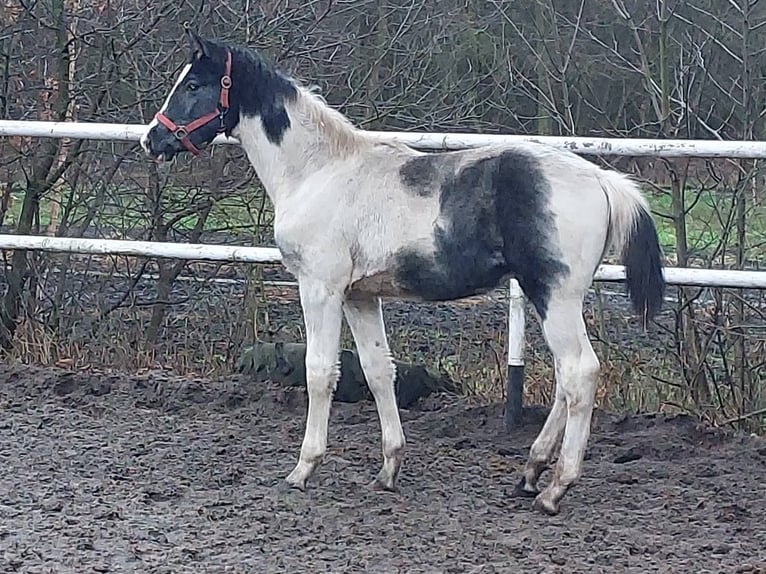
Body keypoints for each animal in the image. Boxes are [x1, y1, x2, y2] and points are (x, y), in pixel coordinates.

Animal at [142, 28, 664, 516]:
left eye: (193, 84)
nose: (152, 138)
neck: (318, 172)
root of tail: (602, 179)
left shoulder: (320, 288)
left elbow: (319, 371)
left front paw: (303, 469)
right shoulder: (360, 296)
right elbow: (377, 372)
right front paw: (389, 468)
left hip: (554, 295)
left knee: (580, 373)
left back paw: (556, 489)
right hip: (554, 299)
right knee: (565, 379)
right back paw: (531, 472)